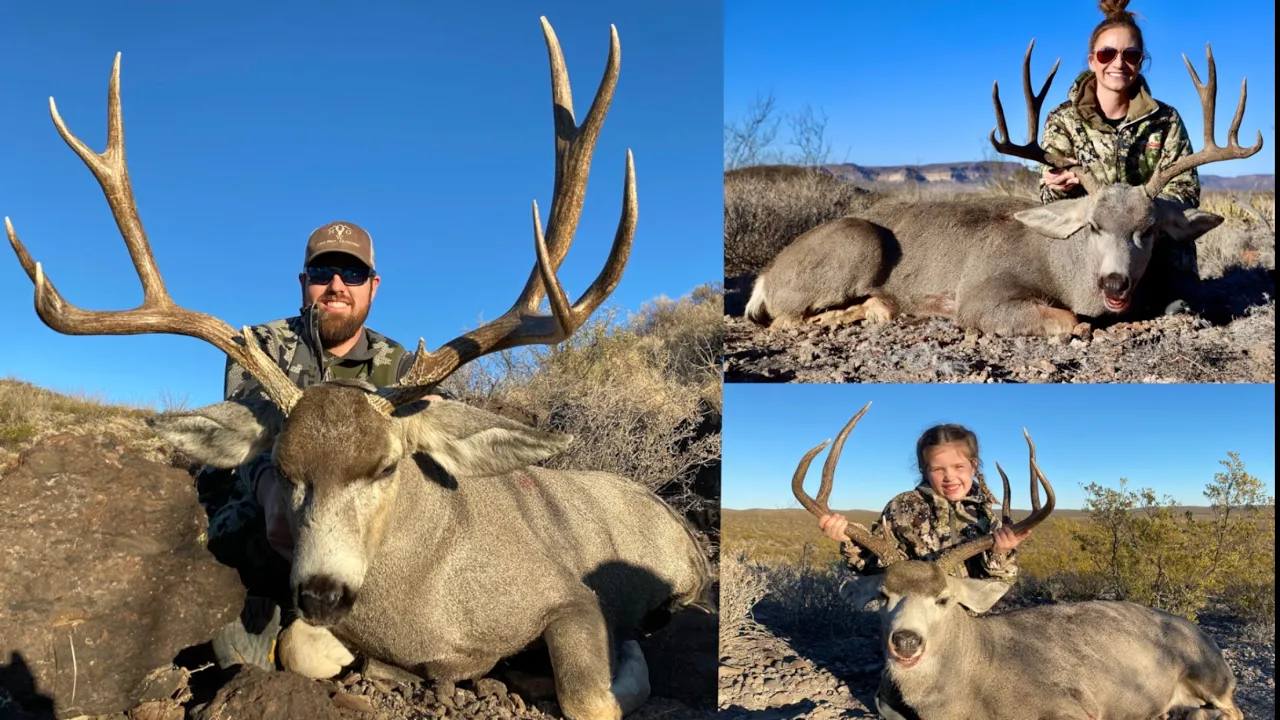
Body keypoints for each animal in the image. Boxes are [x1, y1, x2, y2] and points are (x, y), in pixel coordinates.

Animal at [5, 18, 715, 720]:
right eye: (283, 469)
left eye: (386, 467)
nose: (322, 591)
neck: (425, 606)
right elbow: (298, 647)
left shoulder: (570, 595)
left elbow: (590, 695)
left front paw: (609, 667)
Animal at [745, 40, 1264, 337]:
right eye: (1093, 226)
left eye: (1151, 229)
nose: (1115, 283)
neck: (1060, 267)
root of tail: (764, 277)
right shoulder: (981, 293)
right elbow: (1069, 323)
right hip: (858, 241)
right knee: (787, 317)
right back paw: (875, 307)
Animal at [789, 402, 1243, 720]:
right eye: (883, 595)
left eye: (944, 599)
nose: (905, 641)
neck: (972, 689)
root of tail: (1203, 635)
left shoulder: (1075, 705)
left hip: (1212, 678)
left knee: (1232, 710)